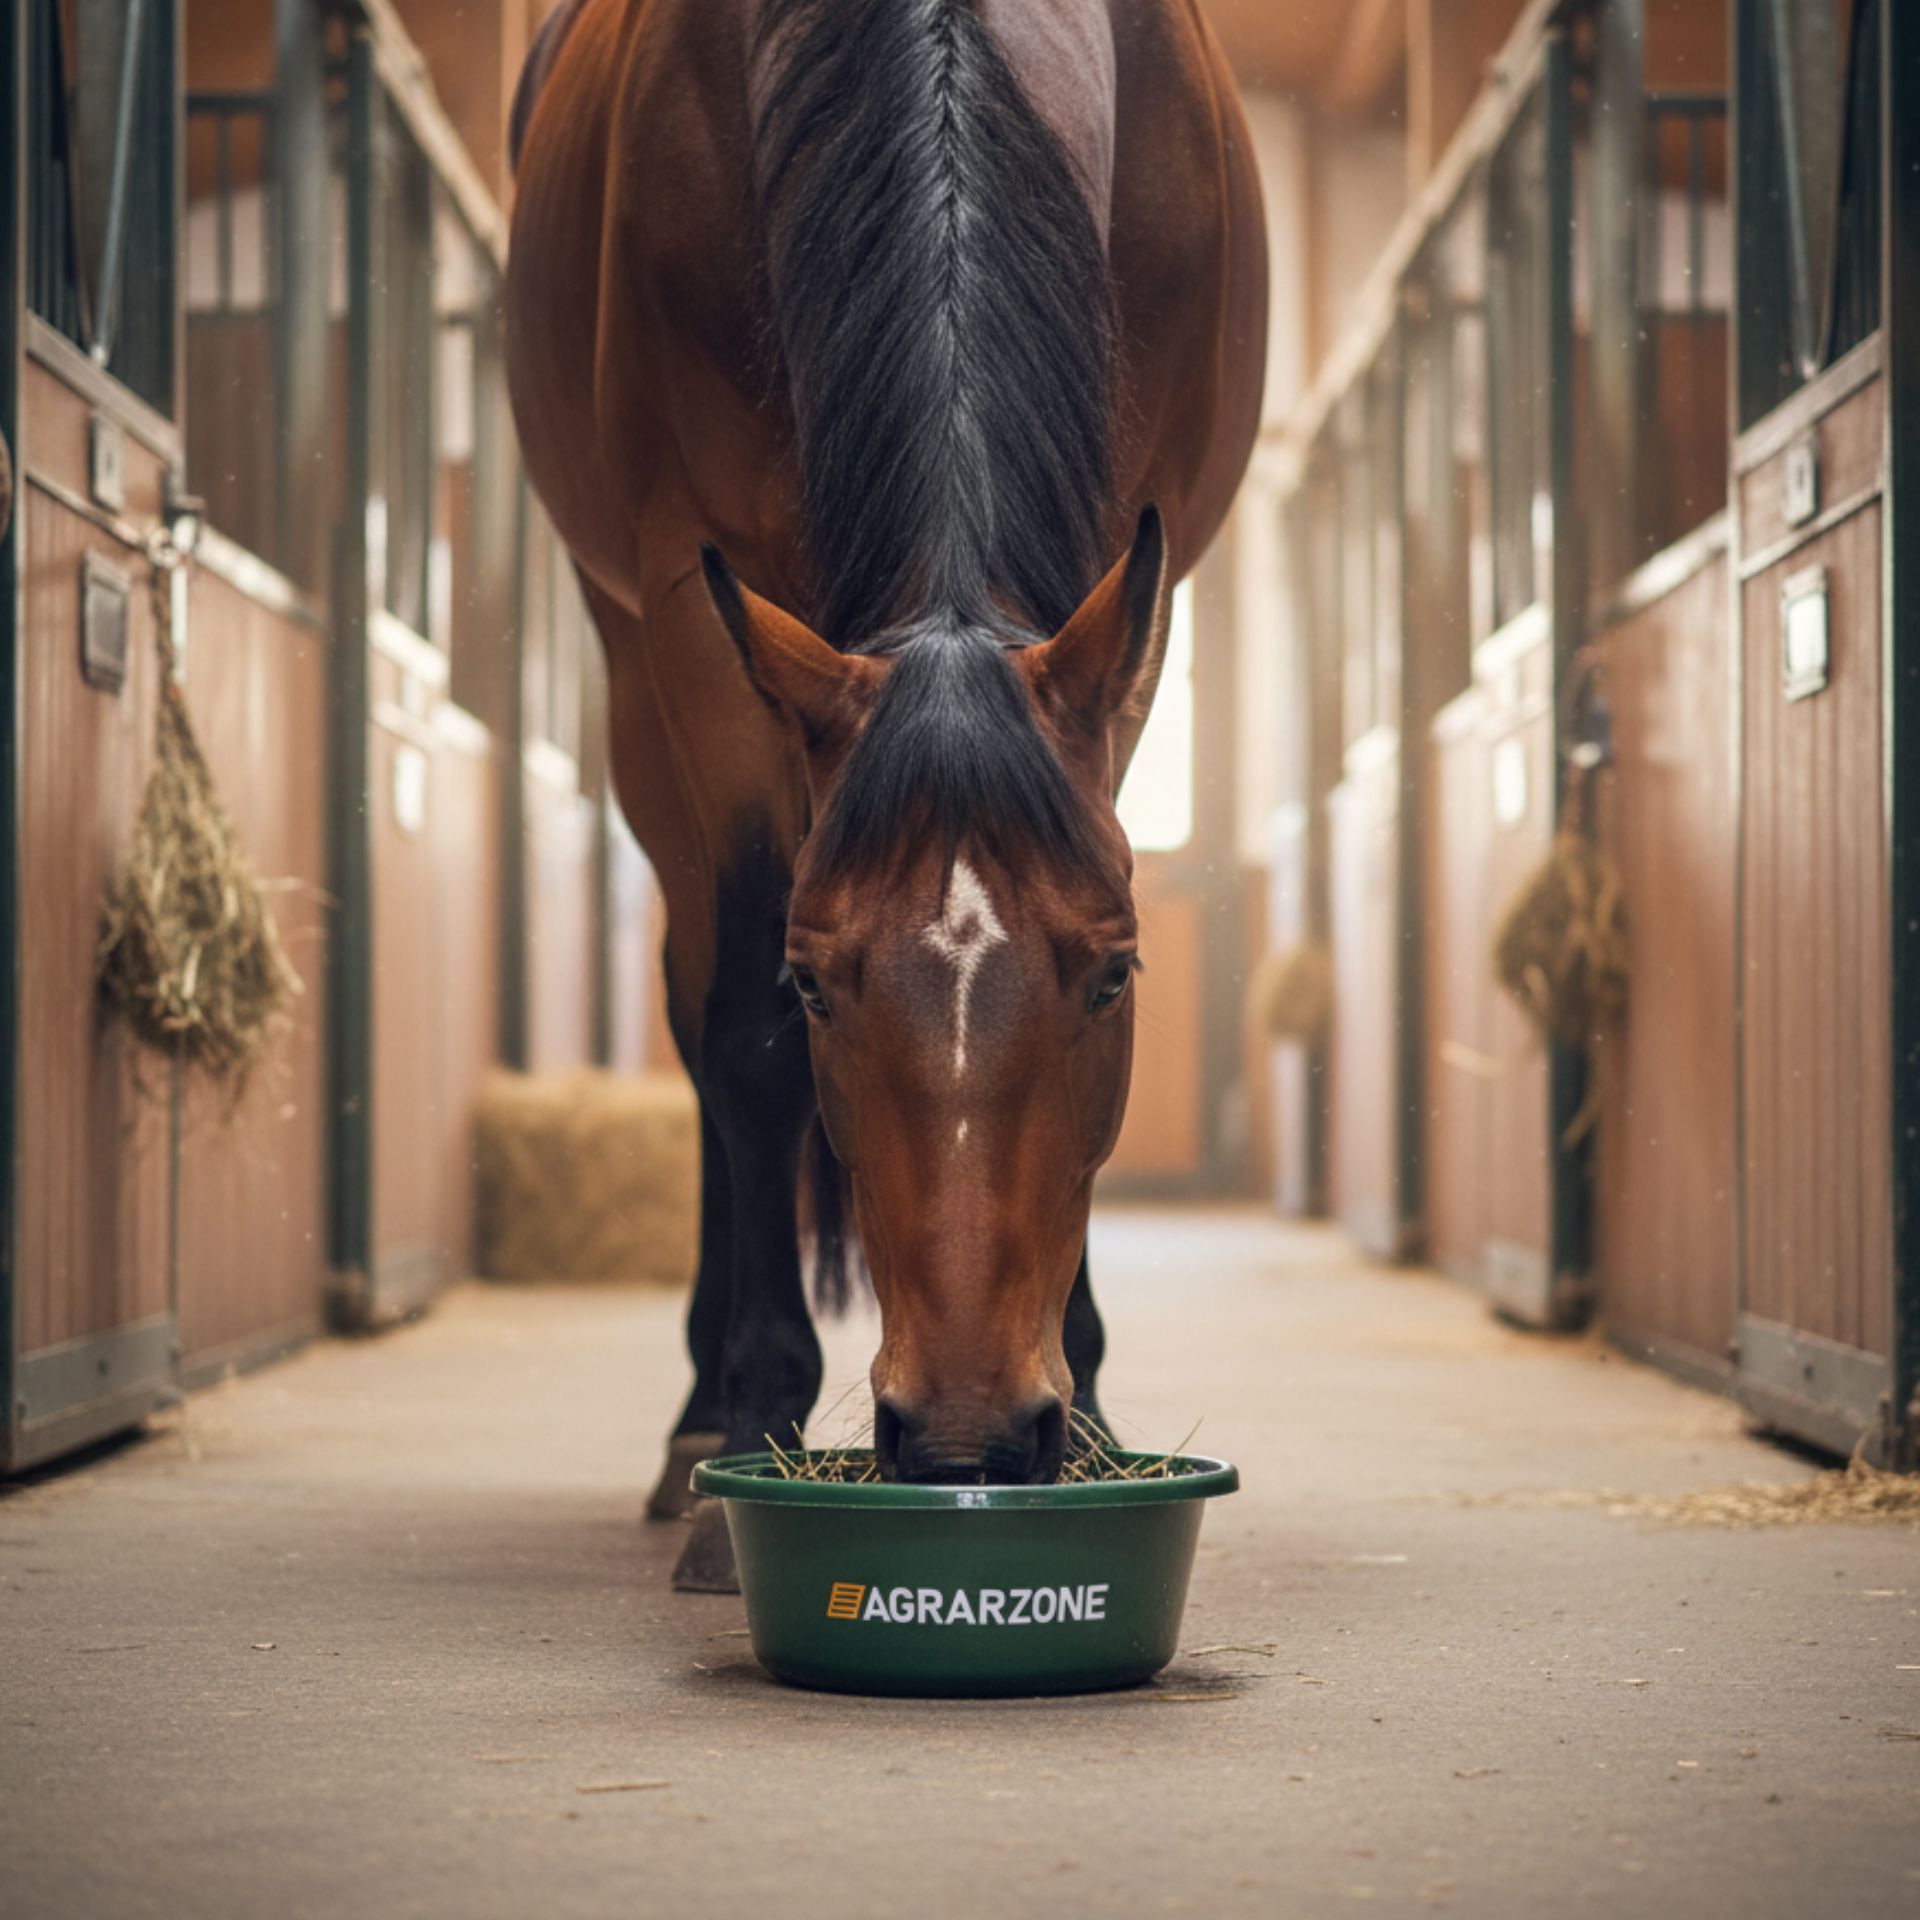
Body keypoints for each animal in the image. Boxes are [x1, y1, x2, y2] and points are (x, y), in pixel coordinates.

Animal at [506, 0, 1266, 1590]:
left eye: (1120, 975)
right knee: (691, 1002)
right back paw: (701, 1415)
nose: (970, 1439)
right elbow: (741, 1034)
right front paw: (752, 1421)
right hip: (636, 682)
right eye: (821, 986)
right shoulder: (693, 604)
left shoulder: (1136, 581)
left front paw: (1088, 1409)